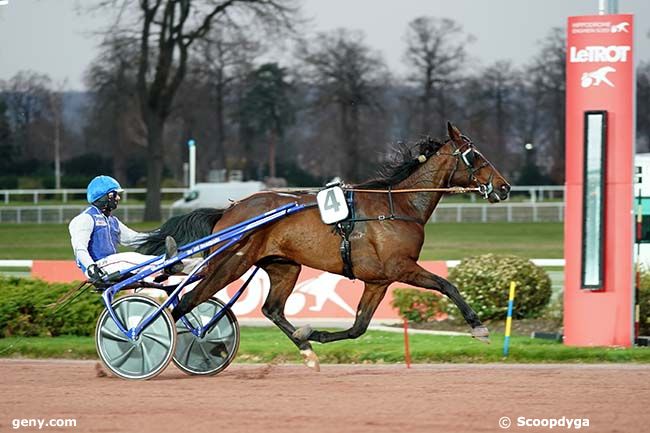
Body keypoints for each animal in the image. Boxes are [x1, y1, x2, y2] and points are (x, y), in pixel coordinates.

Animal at [139, 120, 508, 368]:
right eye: (475, 155)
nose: (504, 187)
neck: (398, 206)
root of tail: (228, 211)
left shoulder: (378, 280)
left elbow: (358, 327)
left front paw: (312, 335)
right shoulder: (401, 267)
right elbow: (447, 285)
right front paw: (478, 327)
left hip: (284, 266)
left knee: (271, 309)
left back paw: (305, 351)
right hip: (229, 263)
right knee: (184, 301)